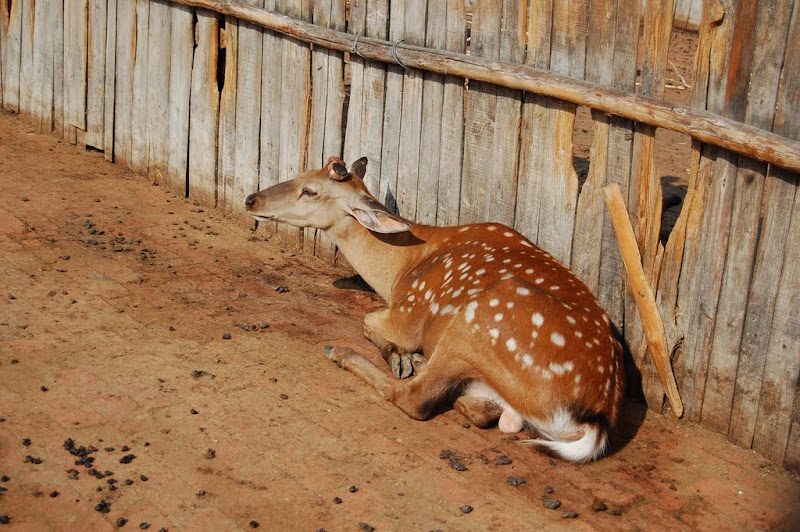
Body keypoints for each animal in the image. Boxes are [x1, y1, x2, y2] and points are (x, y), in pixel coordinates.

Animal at [244, 155, 624, 462]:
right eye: (301, 172)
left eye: (310, 191)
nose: (251, 198)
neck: (399, 270)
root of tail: (596, 416)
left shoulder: (407, 314)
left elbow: (369, 322)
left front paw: (400, 356)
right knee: (491, 415)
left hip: (476, 321)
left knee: (414, 397)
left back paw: (343, 353)